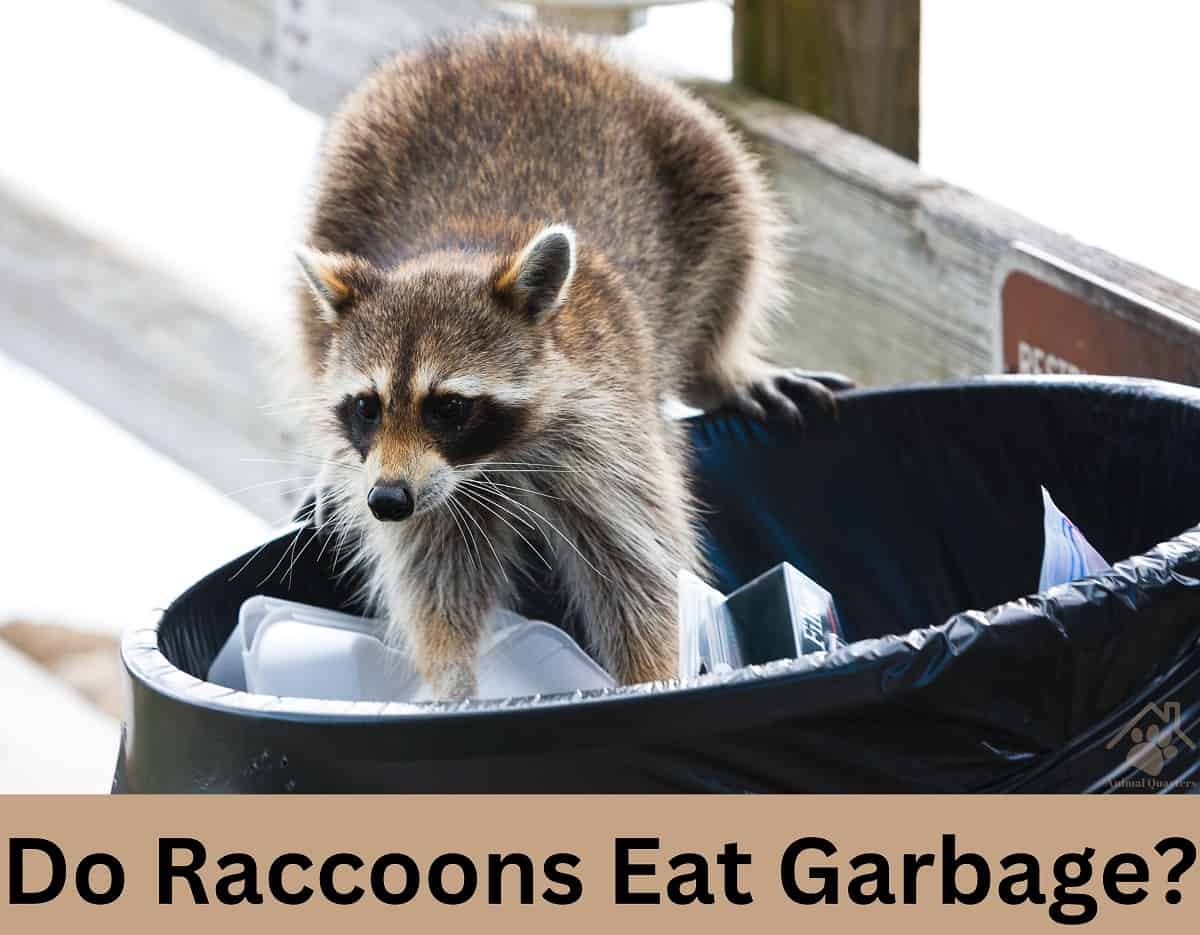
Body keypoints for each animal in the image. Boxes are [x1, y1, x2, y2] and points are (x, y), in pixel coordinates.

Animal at [294, 28, 850, 699]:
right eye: (367, 407)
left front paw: (653, 676)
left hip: (697, 155)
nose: (387, 500)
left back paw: (722, 367)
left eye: (448, 407)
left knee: (738, 248)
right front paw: (453, 677)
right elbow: (434, 572)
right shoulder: (423, 485)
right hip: (343, 182)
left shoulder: (611, 431)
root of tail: (502, 38)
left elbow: (641, 569)